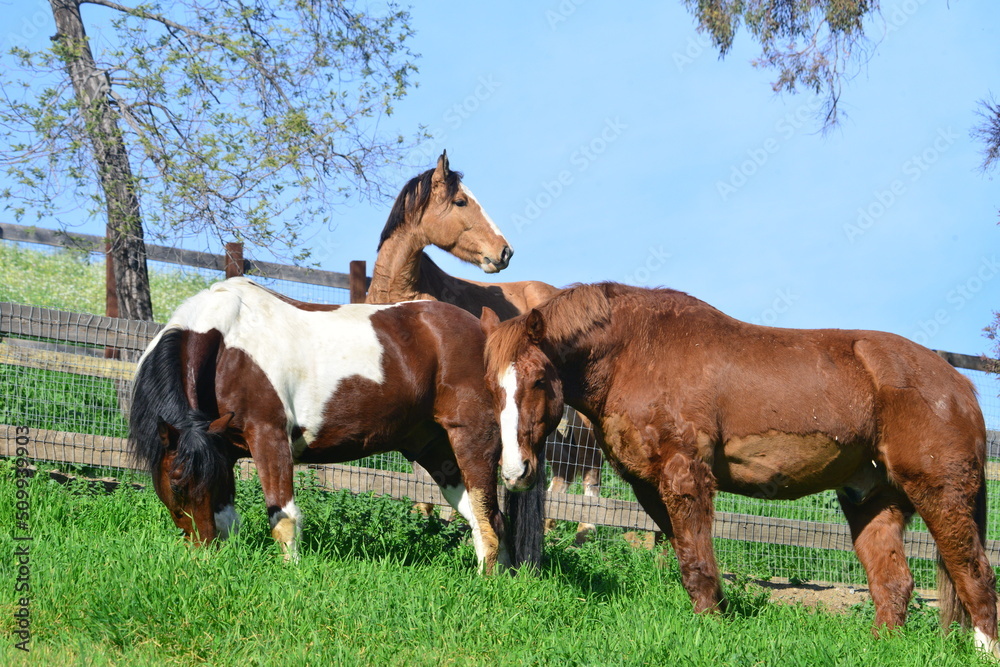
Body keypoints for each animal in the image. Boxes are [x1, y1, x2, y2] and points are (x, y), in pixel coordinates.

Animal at [129, 276, 544, 576]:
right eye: (177, 482)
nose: (204, 553)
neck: (226, 344)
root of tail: (485, 333)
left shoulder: (269, 437)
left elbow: (282, 516)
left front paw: (290, 573)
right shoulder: (221, 448)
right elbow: (229, 516)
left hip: (471, 439)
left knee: (487, 516)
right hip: (436, 450)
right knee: (483, 515)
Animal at [368, 149, 600, 544]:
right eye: (461, 201)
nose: (504, 252)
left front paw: (445, 518)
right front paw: (426, 515)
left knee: (588, 463)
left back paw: (585, 531)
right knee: (564, 468)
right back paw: (554, 528)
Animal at [480, 282, 996, 656]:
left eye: (539, 380)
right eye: (492, 386)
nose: (515, 472)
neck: (636, 350)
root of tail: (958, 384)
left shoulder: (685, 476)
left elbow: (696, 563)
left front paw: (710, 626)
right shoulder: (650, 487)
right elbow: (689, 558)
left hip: (940, 493)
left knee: (974, 573)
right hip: (872, 500)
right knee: (894, 583)